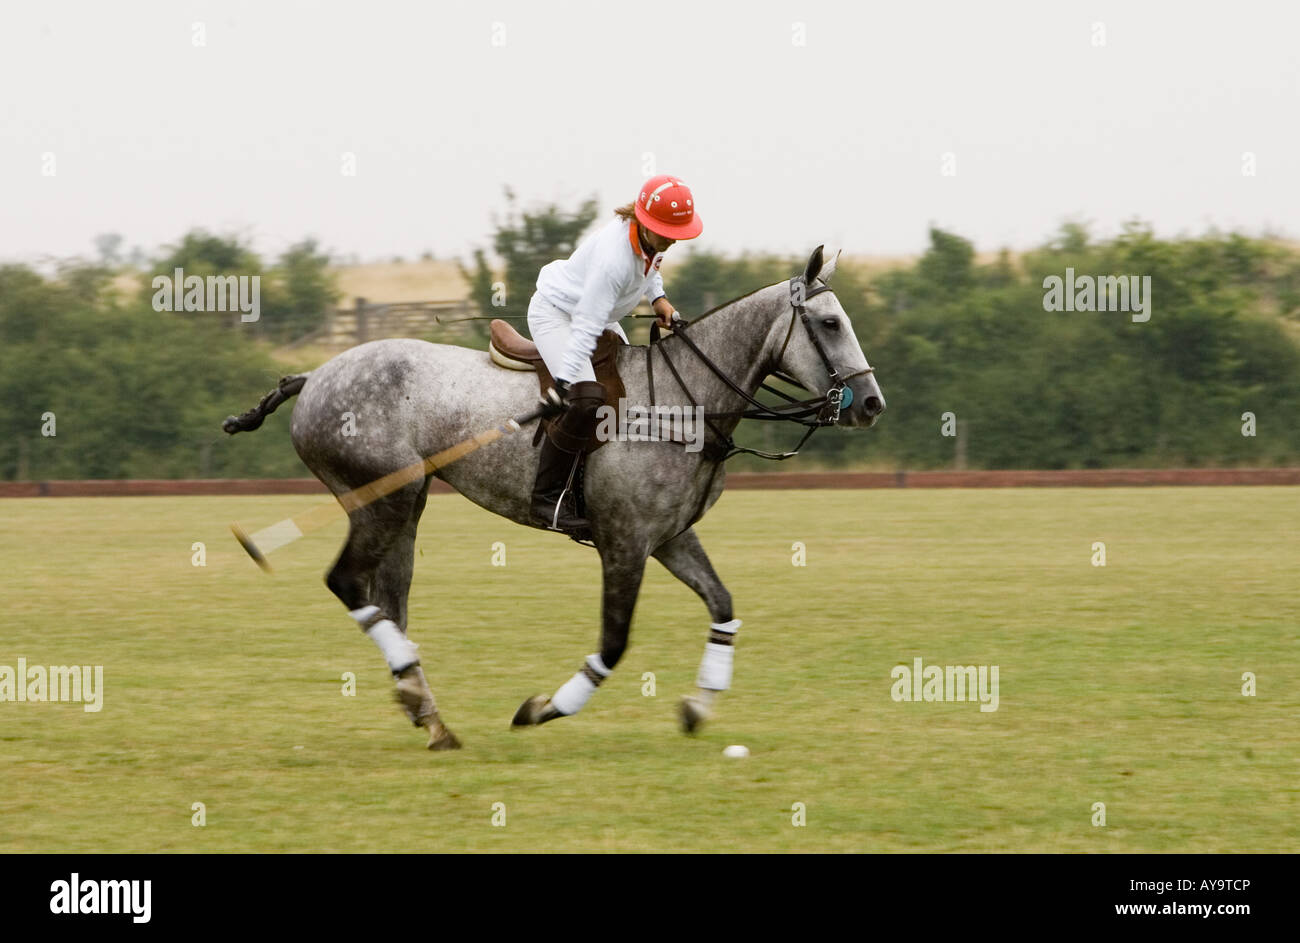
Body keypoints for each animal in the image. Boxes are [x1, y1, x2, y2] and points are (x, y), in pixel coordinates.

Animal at [226, 248, 883, 749]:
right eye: (830, 324)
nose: (872, 404)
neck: (684, 400)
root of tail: (312, 376)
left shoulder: (669, 537)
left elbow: (722, 606)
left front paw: (698, 708)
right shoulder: (624, 543)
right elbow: (614, 644)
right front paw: (543, 708)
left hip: (407, 502)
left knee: (389, 600)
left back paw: (427, 712)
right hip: (378, 496)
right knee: (347, 582)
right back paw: (421, 700)